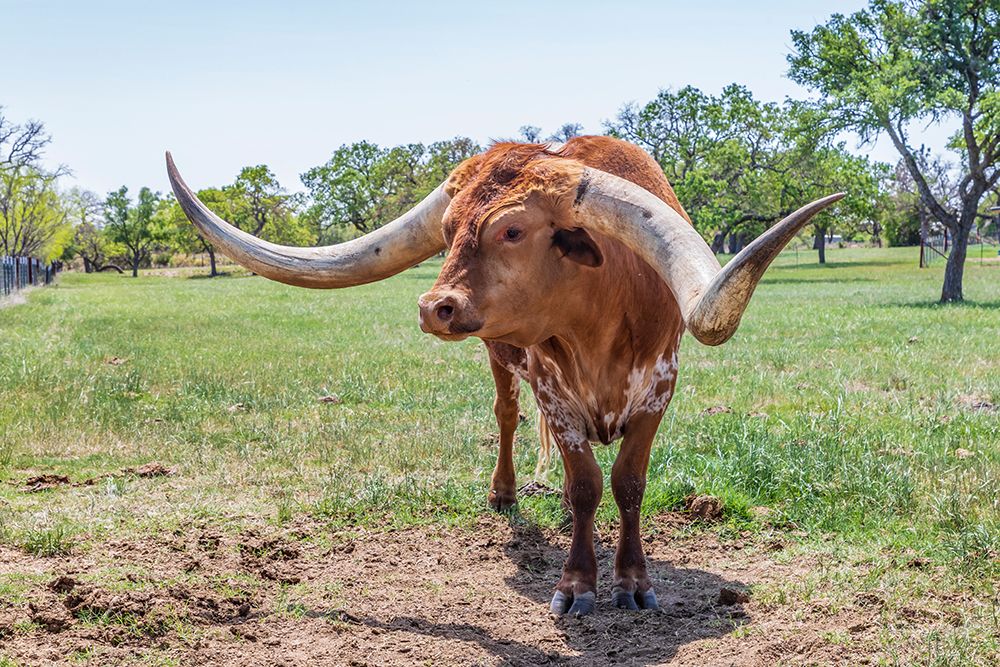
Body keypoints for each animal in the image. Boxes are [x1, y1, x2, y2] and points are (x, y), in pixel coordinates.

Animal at [166, 136, 841, 616]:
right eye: (448, 230)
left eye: (513, 230)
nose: (433, 308)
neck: (602, 317)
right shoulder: (554, 392)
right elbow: (586, 482)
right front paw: (577, 585)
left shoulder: (660, 389)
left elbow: (627, 483)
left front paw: (633, 582)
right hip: (499, 359)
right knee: (508, 416)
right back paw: (505, 491)